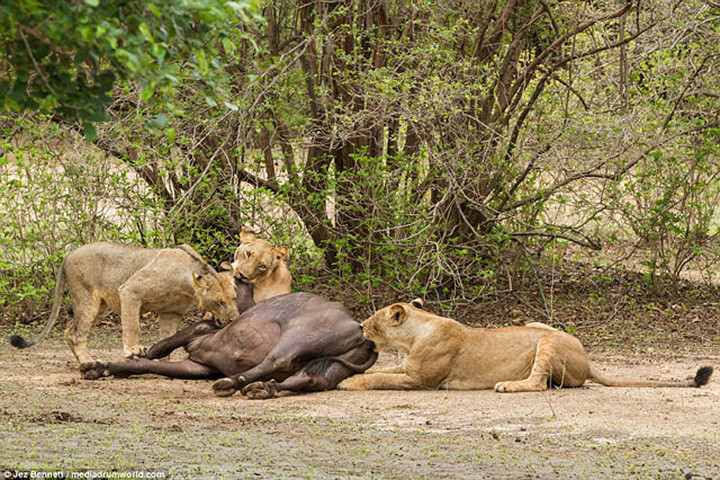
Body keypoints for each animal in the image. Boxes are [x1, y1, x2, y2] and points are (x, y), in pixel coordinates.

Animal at [9, 244, 239, 364]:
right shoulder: (130, 291)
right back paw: (88, 362)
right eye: (219, 302)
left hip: (100, 306)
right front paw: (133, 350)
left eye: (234, 298)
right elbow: (132, 325)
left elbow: (167, 337)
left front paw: (164, 362)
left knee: (68, 331)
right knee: (76, 334)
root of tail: (68, 255)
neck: (186, 281)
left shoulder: (171, 312)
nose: (234, 319)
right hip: (87, 299)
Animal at [80, 290, 376, 400]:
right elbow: (147, 365)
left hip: (297, 337)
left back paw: (235, 383)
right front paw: (100, 367)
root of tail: (359, 329)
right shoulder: (197, 366)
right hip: (326, 369)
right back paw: (262, 389)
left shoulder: (202, 341)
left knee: (275, 361)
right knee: (305, 380)